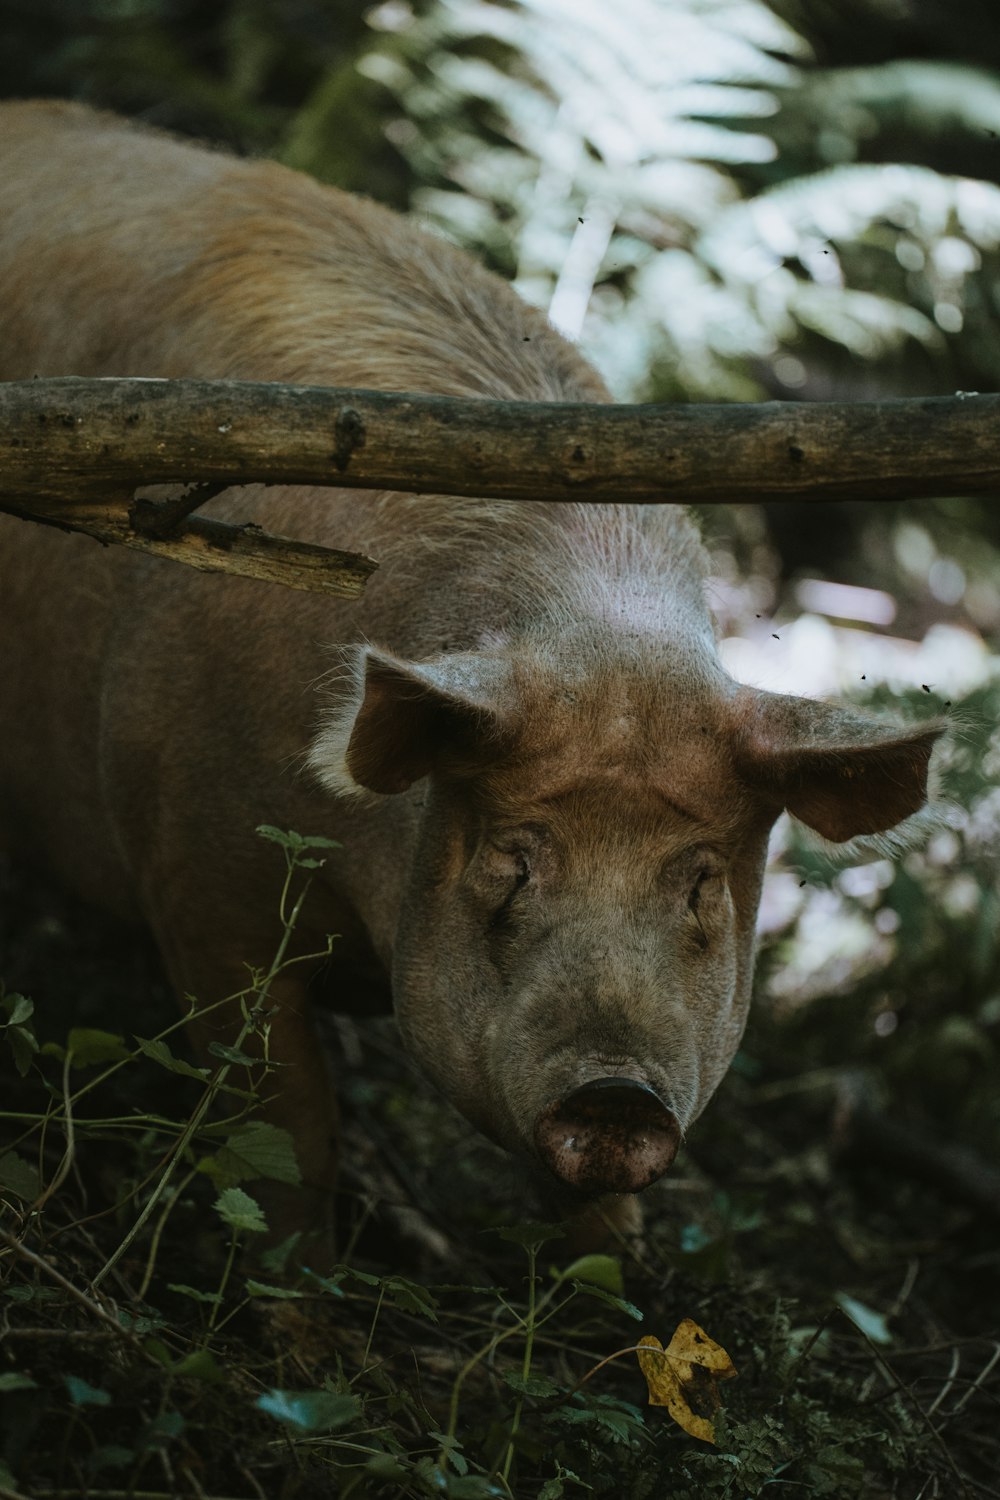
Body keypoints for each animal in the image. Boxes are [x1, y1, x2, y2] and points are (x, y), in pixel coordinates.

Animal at [0, 105, 947, 1248]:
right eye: (514, 860)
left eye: (702, 881)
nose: (617, 1097)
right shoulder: (198, 881)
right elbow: (285, 1127)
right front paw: (295, 1284)